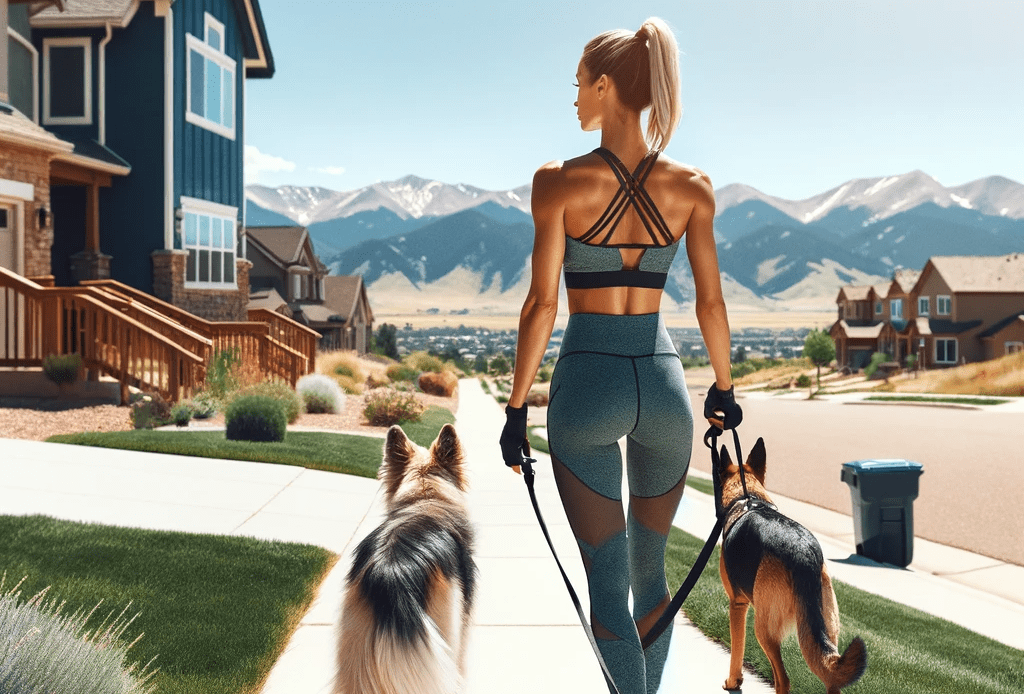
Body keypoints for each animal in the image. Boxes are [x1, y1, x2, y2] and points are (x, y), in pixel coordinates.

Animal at [716, 438, 868, 691]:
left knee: (783, 679)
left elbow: (737, 651)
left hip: (764, 630)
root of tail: (803, 554)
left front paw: (733, 682)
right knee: (831, 677)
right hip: (826, 630)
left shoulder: (737, 604)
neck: (748, 499)